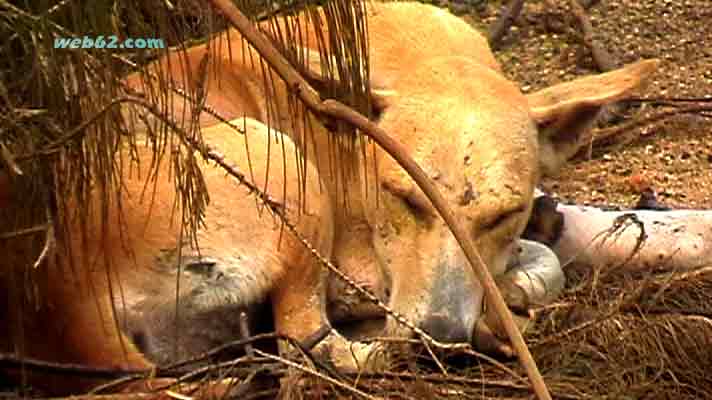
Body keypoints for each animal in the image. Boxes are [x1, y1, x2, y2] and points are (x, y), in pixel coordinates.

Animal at [0, 0, 656, 394]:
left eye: (501, 215)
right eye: (404, 198)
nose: (439, 342)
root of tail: (55, 294)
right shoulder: (357, 270)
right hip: (282, 159)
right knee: (306, 342)